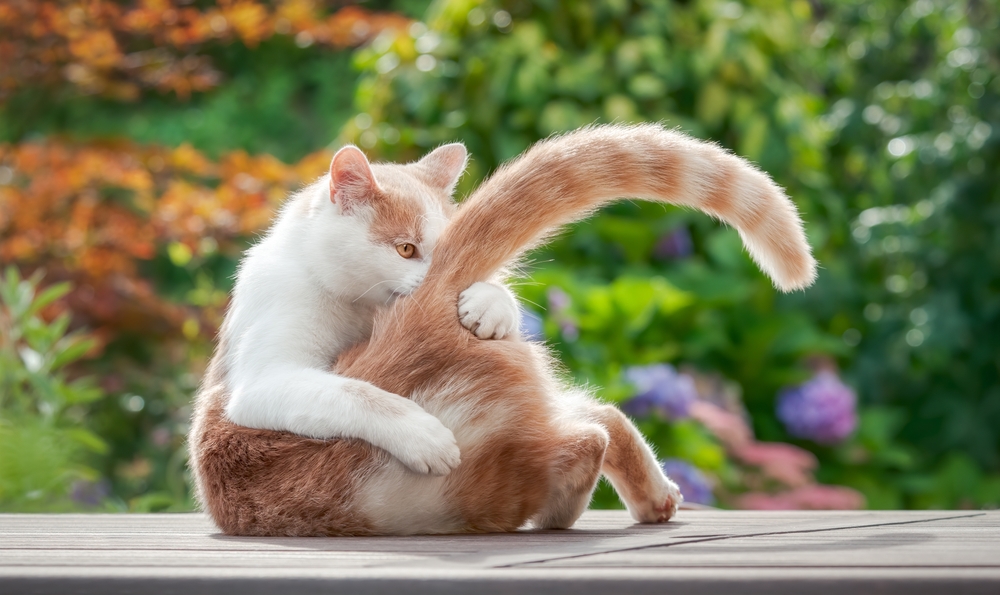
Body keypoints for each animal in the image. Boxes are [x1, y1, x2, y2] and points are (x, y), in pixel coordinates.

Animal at [215, 142, 520, 478]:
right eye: (406, 249)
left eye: (451, 251)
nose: (439, 280)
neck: (357, 304)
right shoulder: (264, 379)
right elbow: (355, 393)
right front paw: (420, 434)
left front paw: (490, 300)